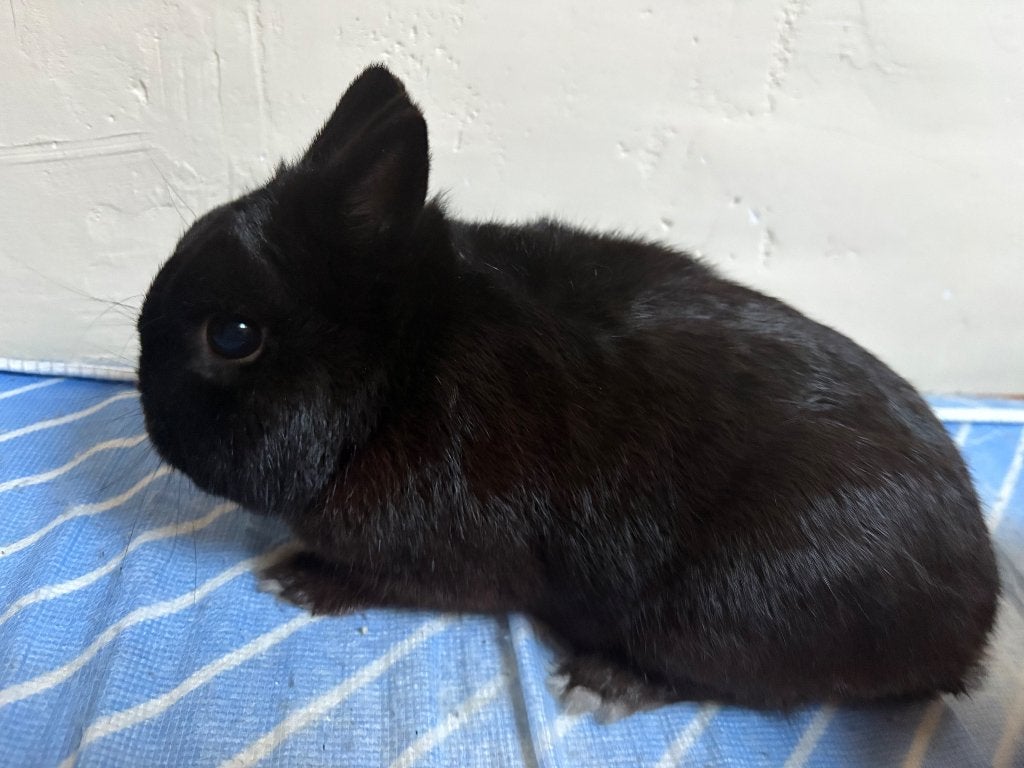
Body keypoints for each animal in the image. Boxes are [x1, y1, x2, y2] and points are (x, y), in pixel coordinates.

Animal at [137, 64, 999, 717]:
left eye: (233, 336)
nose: (150, 417)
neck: (396, 378)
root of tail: (973, 622)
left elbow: (382, 580)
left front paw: (297, 577)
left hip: (728, 608)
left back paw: (602, 682)